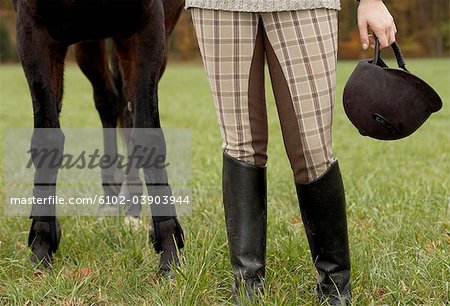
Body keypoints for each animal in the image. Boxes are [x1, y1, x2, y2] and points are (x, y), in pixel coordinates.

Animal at [12, 0, 185, 274]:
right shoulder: (32, 29)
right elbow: (47, 137)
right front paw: (42, 245)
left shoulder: (147, 27)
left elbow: (148, 134)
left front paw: (170, 251)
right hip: (88, 45)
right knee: (108, 100)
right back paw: (112, 200)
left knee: (128, 110)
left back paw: (132, 209)